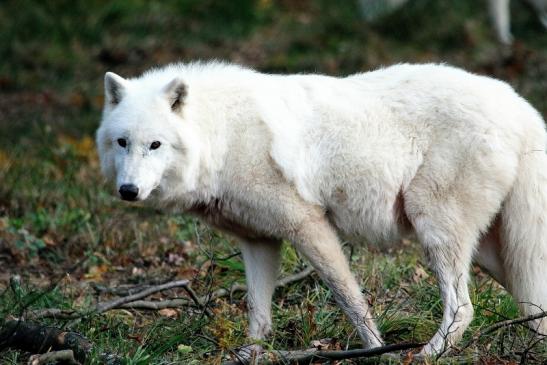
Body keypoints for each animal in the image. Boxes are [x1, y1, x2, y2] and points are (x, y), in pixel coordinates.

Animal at [96, 60, 547, 356]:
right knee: (530, 301)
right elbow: (258, 314)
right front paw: (250, 355)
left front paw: (375, 349)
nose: (128, 190)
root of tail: (521, 107)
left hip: (435, 227)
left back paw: (425, 355)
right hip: (494, 253)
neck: (221, 136)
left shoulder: (307, 225)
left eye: (155, 145)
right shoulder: (258, 241)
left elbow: (350, 299)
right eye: (122, 142)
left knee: (463, 309)